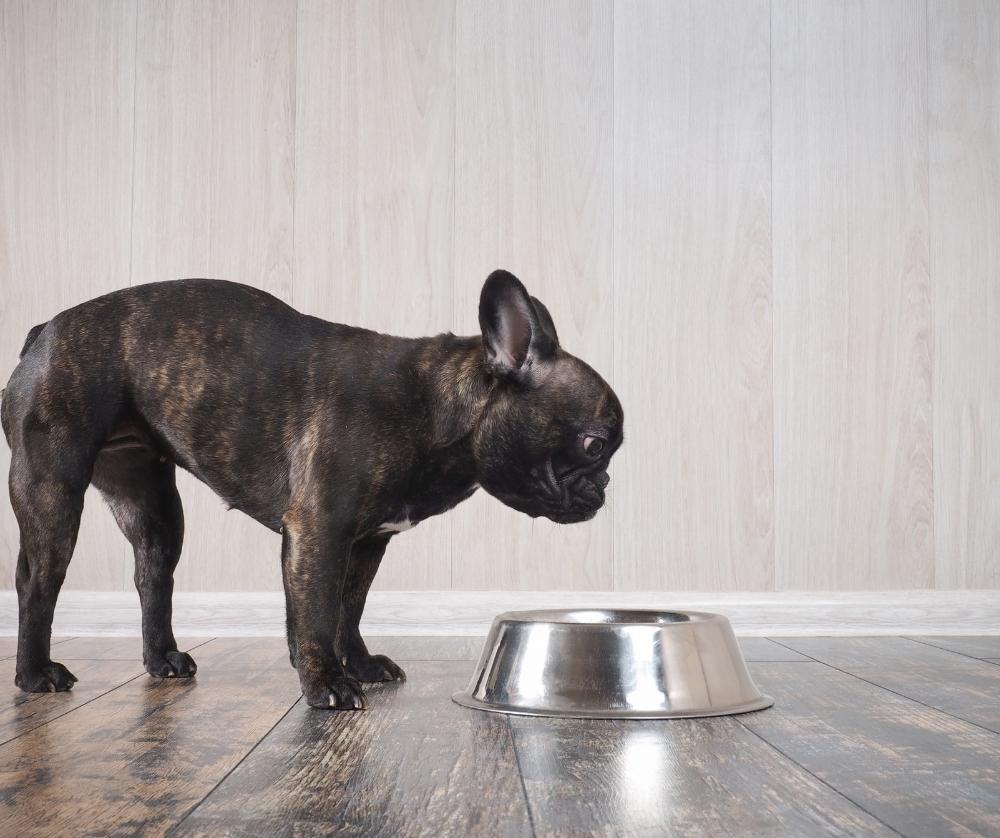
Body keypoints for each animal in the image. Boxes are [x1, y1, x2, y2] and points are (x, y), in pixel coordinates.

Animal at [1, 272, 624, 712]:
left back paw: (162, 660)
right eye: (595, 445)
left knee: (152, 573)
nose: (605, 487)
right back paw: (35, 674)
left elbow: (350, 606)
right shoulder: (320, 530)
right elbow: (317, 609)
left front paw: (360, 665)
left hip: (152, 504)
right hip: (53, 489)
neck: (434, 409)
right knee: (37, 580)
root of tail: (44, 331)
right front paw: (326, 682)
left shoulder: (367, 543)